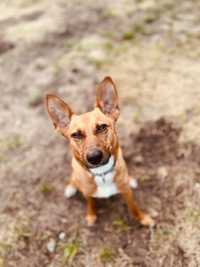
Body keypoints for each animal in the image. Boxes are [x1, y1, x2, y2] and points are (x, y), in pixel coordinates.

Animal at [45, 76, 155, 227]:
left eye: (102, 127)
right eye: (76, 135)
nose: (94, 157)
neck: (101, 173)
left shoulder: (127, 192)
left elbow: (134, 208)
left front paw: (143, 218)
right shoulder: (87, 193)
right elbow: (90, 204)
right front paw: (91, 216)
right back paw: (71, 188)